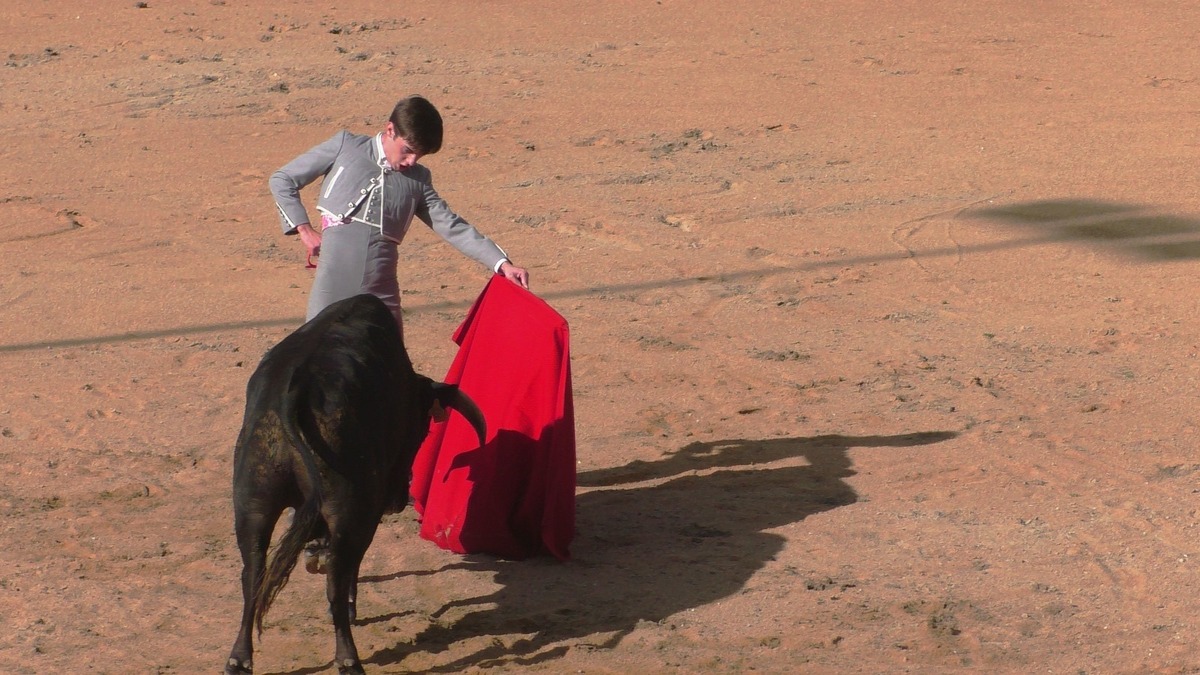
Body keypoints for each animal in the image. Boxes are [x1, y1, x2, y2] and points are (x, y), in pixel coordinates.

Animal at [223, 294, 484, 672]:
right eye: (421, 430)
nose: (399, 498)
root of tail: (295, 390)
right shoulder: (365, 510)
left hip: (253, 501)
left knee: (253, 574)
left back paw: (239, 659)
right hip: (350, 509)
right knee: (337, 574)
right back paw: (348, 656)